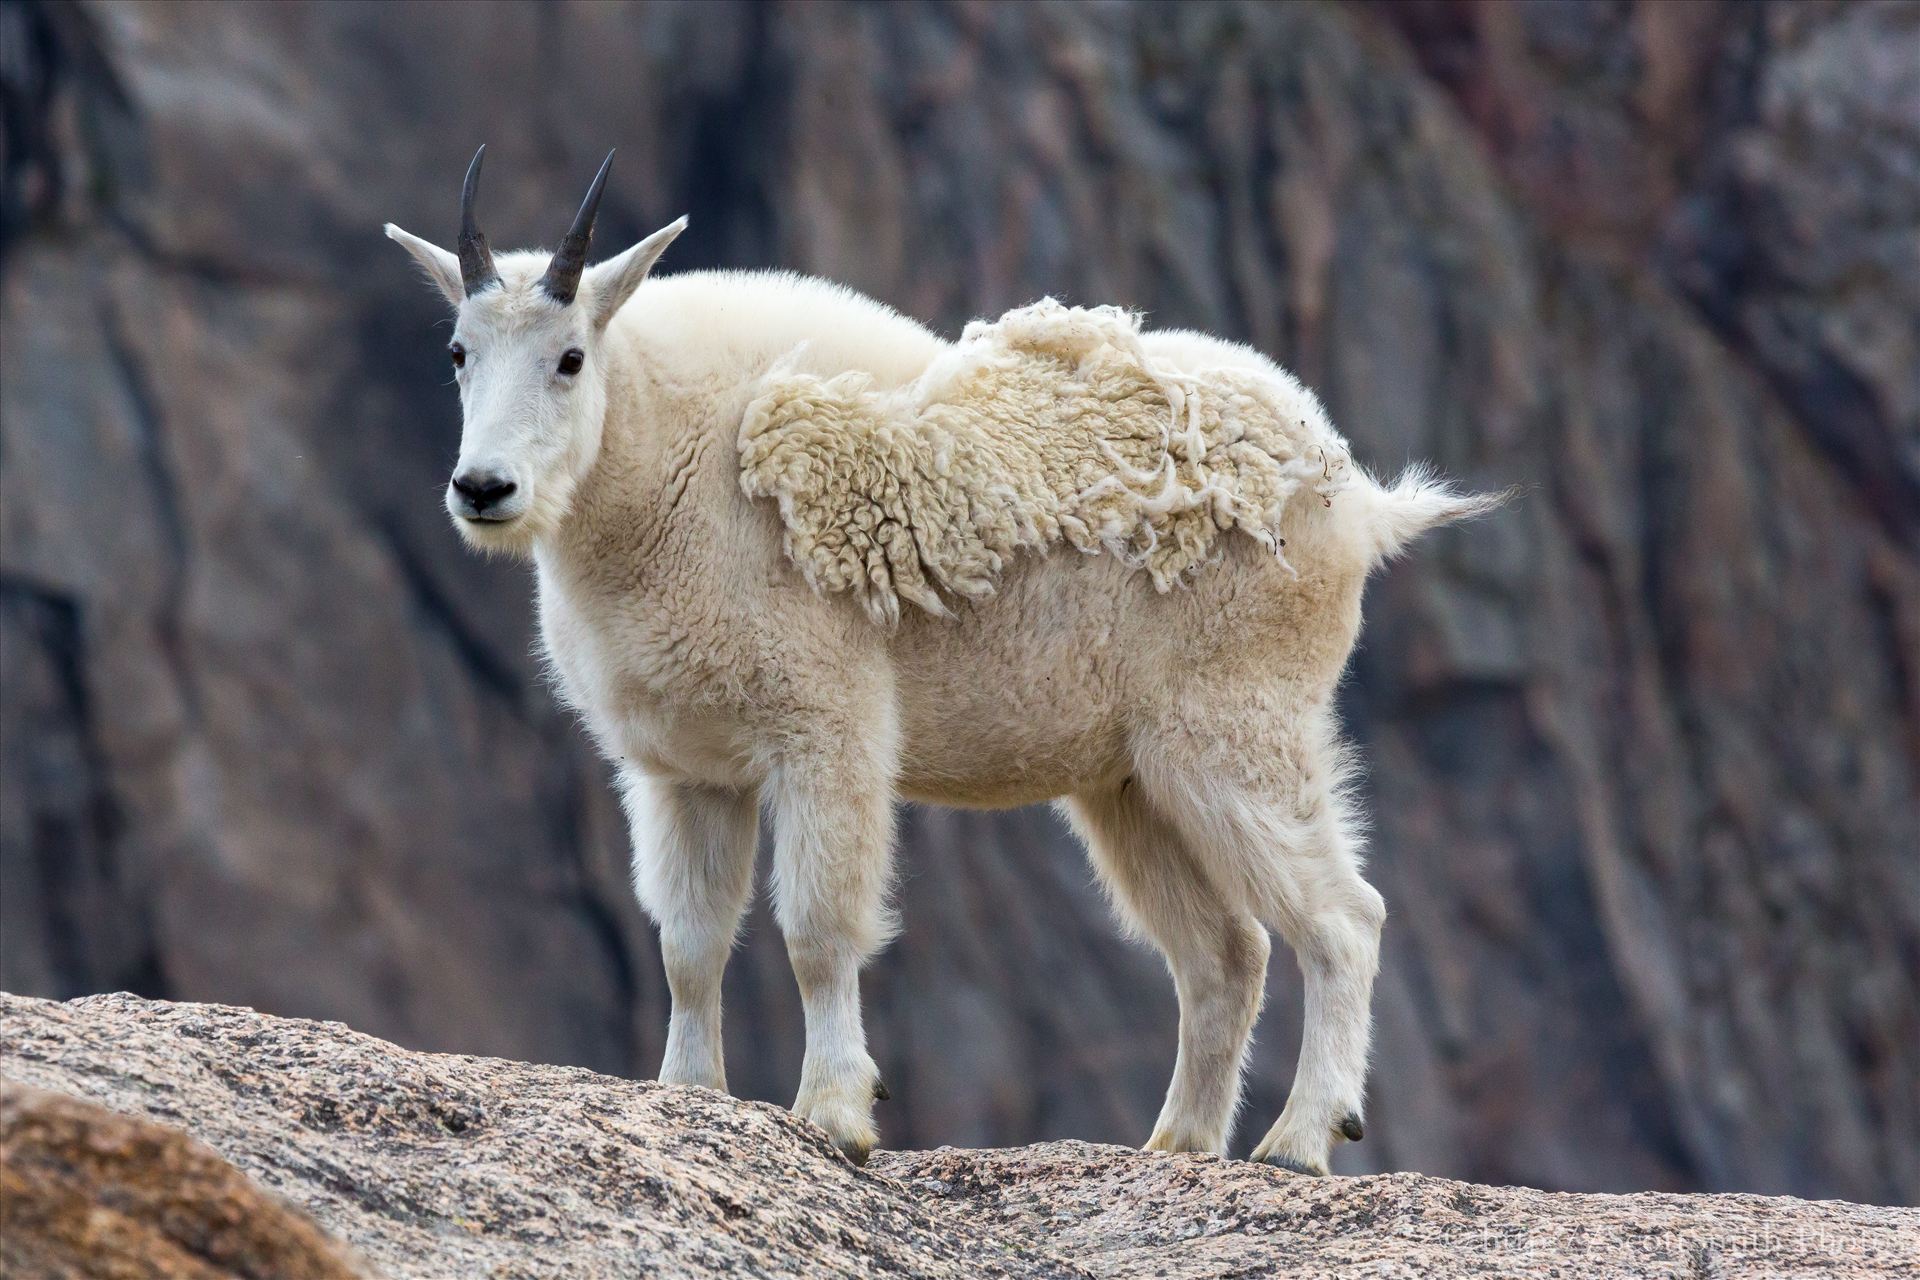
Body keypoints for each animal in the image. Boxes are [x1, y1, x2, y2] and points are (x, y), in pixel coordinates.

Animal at [385, 147, 1497, 1174]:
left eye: (571, 357)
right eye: (457, 352)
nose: (483, 488)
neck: (659, 468)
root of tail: (1357, 501)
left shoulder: (825, 729)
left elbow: (817, 928)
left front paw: (838, 1112)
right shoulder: (685, 769)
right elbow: (690, 943)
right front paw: (688, 1095)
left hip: (1235, 725)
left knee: (1344, 919)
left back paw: (1301, 1139)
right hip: (1132, 777)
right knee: (1225, 953)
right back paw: (1175, 1144)